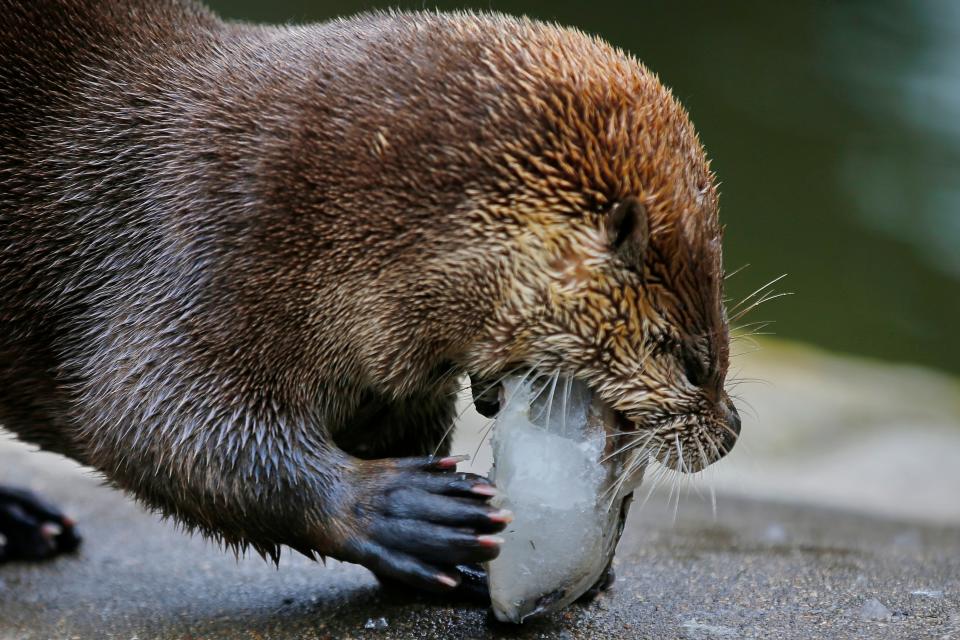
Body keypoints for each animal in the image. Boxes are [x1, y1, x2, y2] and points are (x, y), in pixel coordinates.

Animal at [0, 0, 744, 596]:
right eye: (692, 362)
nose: (730, 430)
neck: (327, 221)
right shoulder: (192, 257)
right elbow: (147, 420)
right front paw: (398, 509)